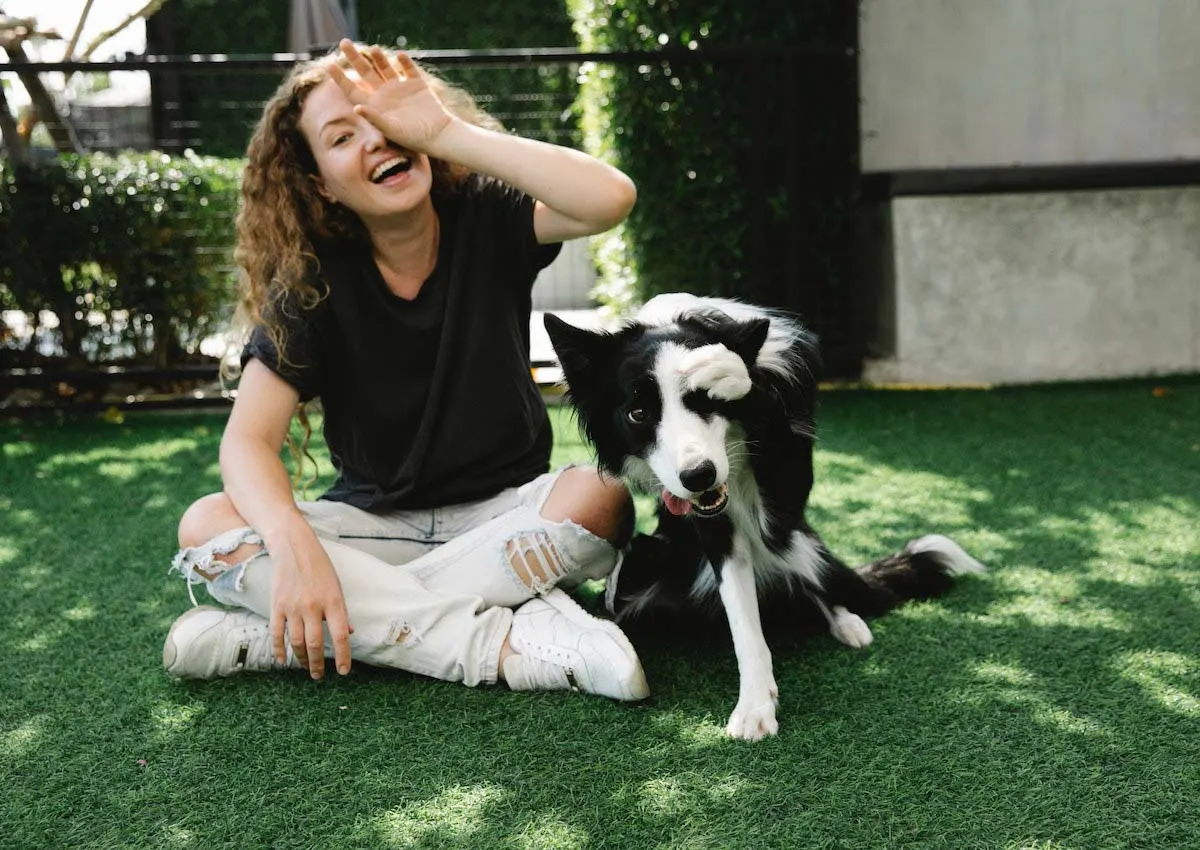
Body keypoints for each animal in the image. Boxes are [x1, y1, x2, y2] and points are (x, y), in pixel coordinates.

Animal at [547, 295, 984, 739]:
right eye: (638, 414)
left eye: (708, 403)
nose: (698, 476)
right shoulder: (714, 529)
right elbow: (744, 621)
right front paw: (756, 706)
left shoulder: (786, 487)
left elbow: (760, 396)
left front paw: (724, 366)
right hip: (646, 557)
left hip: (800, 540)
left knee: (818, 578)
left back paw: (847, 622)